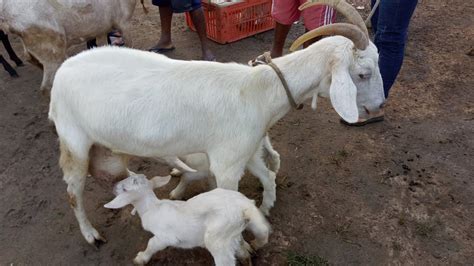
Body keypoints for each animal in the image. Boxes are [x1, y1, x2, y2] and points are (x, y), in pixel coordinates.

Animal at [48, 0, 386, 245]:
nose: (378, 106)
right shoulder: (227, 166)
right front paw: (243, 242)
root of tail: (62, 71)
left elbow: (267, 177)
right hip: (74, 141)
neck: (259, 92)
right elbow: (232, 200)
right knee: (72, 191)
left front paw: (265, 209)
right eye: (362, 74)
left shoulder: (244, 152)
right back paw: (91, 234)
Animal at [104, 174, 270, 264]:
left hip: (217, 238)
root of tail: (245, 208)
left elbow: (151, 244)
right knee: (249, 244)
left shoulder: (165, 237)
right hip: (234, 232)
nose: (113, 185)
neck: (151, 208)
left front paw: (140, 259)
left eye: (124, 189)